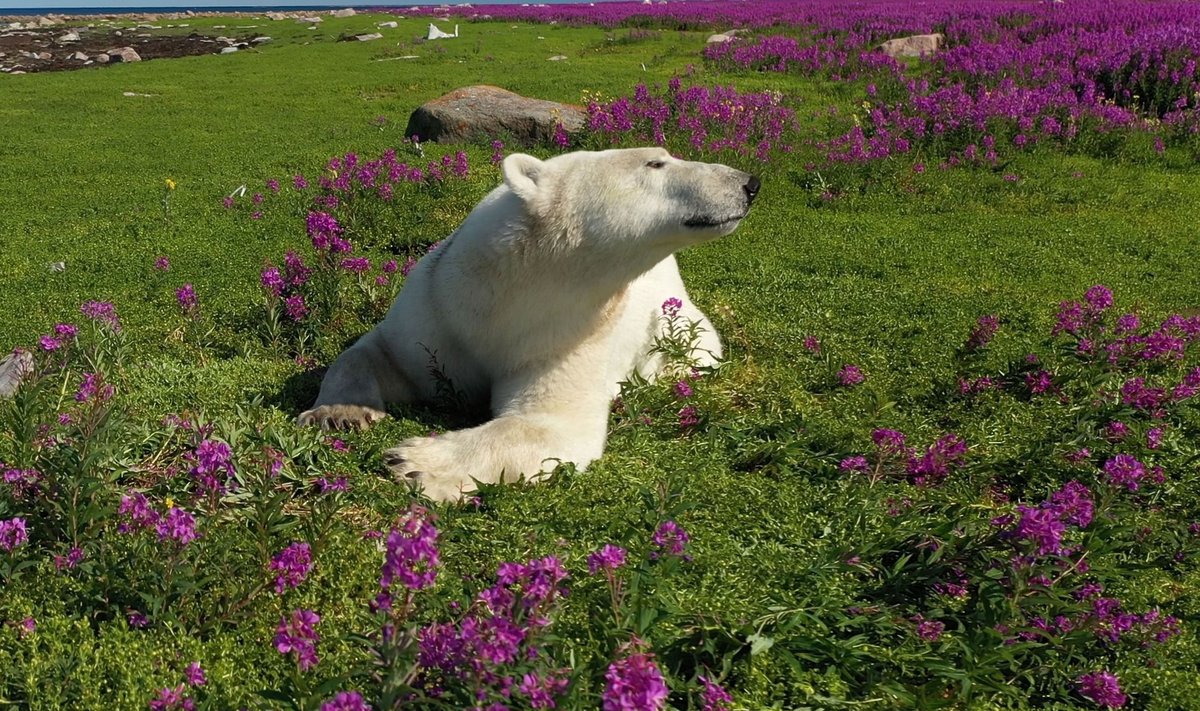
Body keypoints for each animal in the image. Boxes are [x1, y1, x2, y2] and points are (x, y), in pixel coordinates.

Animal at [297, 144, 758, 499]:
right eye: (656, 162)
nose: (749, 182)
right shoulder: (437, 308)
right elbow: (378, 353)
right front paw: (339, 414)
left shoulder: (568, 333)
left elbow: (544, 422)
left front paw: (417, 462)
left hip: (677, 323)